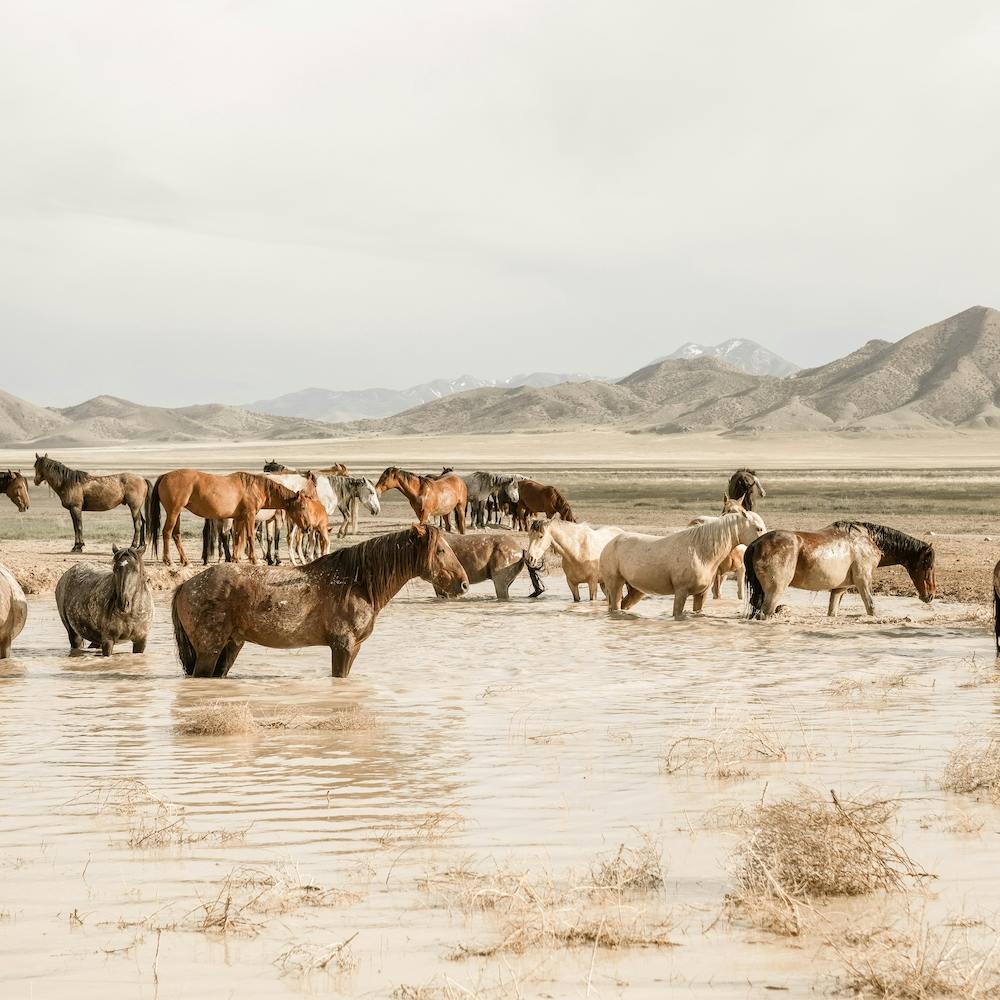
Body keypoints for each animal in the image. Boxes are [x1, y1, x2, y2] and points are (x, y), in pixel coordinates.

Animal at [148, 470, 302, 566]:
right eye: (302, 506)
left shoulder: (239, 518)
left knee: (176, 534)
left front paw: (235, 559)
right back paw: (169, 561)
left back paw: (186, 561)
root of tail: (164, 476)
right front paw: (255, 560)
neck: (255, 487)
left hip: (177, 513)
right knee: (167, 532)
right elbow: (250, 536)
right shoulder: (250, 516)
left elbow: (237, 537)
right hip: (173, 512)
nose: (305, 527)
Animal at [170, 524, 469, 678]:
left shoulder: (354, 648)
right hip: (209, 650)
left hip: (231, 646)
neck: (357, 583)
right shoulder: (342, 646)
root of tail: (186, 585)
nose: (464, 584)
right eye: (440, 550)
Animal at [599, 509, 767, 618]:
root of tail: (610, 543)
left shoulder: (701, 594)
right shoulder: (681, 592)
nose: (762, 547)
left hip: (636, 590)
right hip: (615, 585)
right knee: (615, 607)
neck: (700, 552)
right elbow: (677, 614)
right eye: (758, 528)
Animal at [744, 521, 935, 620]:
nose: (931, 595)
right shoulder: (863, 581)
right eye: (928, 565)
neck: (869, 540)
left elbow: (832, 611)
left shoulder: (839, 589)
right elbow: (871, 608)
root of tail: (755, 545)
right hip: (775, 591)